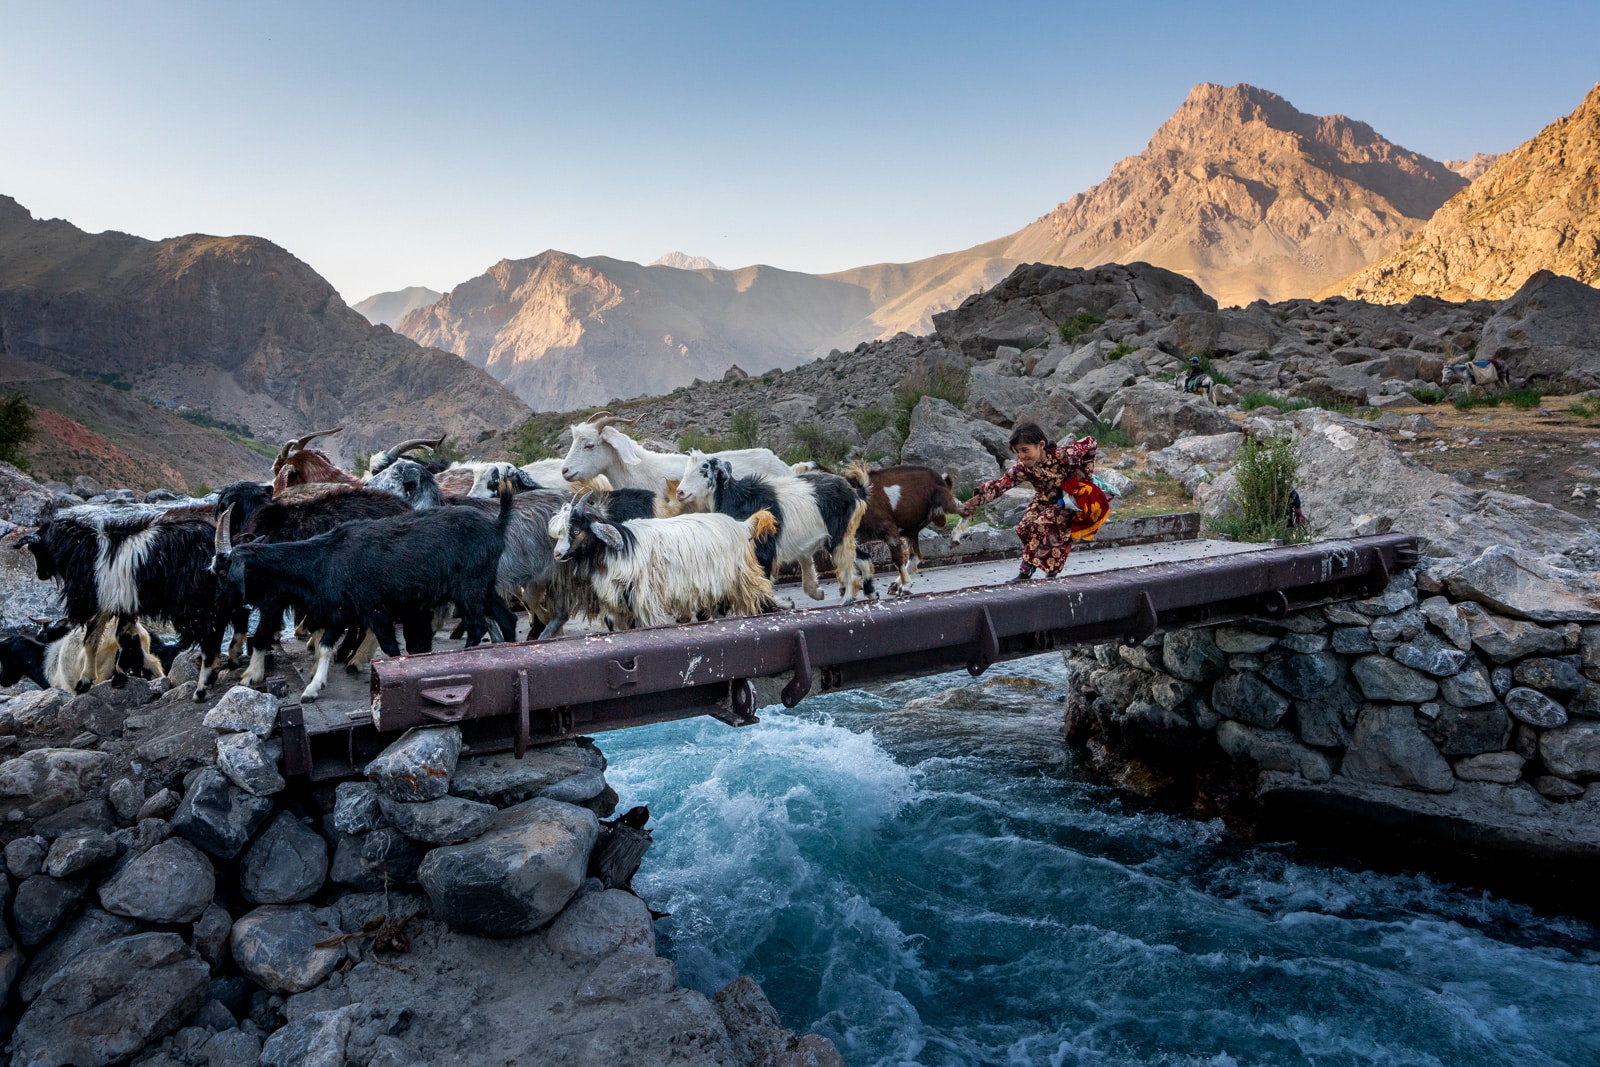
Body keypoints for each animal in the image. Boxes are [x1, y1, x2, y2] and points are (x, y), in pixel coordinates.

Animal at [547, 495, 777, 630]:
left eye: (576, 531)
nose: (557, 554)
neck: (616, 551)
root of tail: (742, 526)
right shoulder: (618, 601)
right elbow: (616, 624)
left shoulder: (643, 597)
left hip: (741, 575)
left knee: (760, 594)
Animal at [678, 447, 876, 601]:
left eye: (704, 468)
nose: (680, 492)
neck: (736, 497)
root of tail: (855, 492)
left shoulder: (762, 549)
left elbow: (761, 580)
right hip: (838, 536)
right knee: (864, 558)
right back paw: (871, 593)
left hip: (838, 535)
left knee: (850, 568)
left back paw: (847, 599)